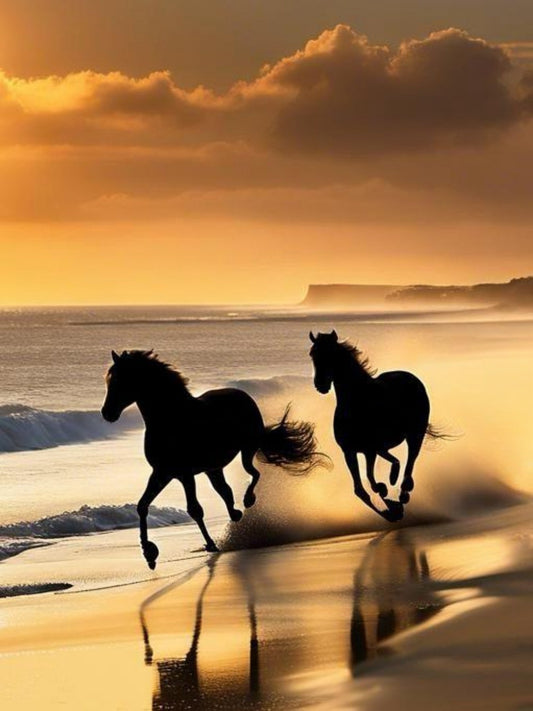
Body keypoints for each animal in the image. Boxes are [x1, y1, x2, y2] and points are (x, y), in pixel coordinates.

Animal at [101, 349, 323, 568]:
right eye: (110, 380)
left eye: (121, 380)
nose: (107, 413)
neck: (171, 419)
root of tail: (243, 395)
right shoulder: (162, 473)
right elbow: (142, 506)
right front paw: (149, 554)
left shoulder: (184, 474)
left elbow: (194, 509)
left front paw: (210, 544)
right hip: (213, 468)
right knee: (226, 490)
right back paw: (237, 513)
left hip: (246, 450)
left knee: (253, 474)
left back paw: (248, 500)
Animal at [309, 330, 441, 522]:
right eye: (312, 354)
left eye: (331, 354)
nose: (321, 385)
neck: (356, 402)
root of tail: (411, 377)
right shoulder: (349, 451)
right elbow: (361, 490)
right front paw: (389, 504)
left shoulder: (368, 450)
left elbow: (371, 478)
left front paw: (388, 493)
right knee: (392, 458)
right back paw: (394, 482)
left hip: (415, 434)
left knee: (410, 460)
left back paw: (403, 491)